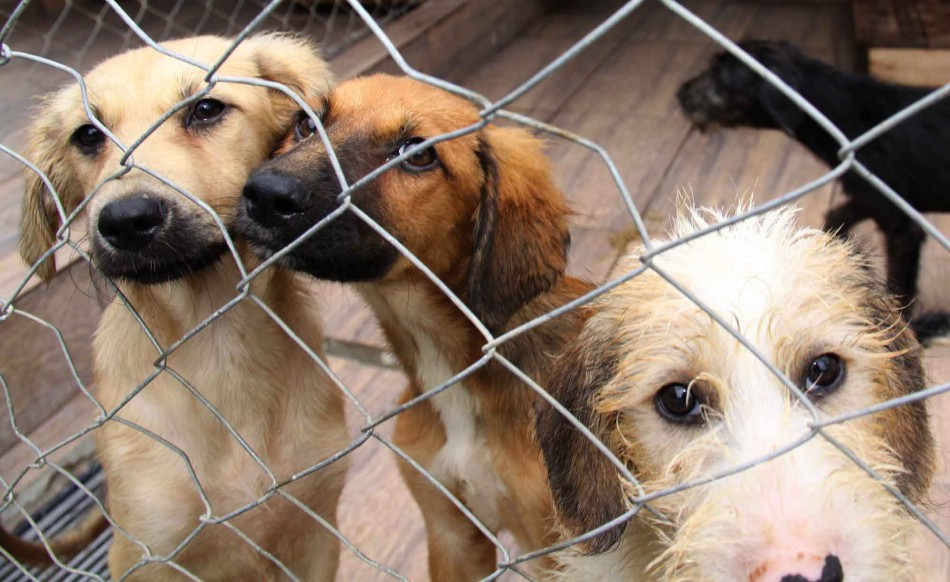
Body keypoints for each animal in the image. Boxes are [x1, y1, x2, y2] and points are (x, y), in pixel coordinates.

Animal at [15, 34, 350, 580]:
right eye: (87, 136)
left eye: (206, 109)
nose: (126, 220)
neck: (214, 336)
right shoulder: (147, 550)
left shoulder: (316, 532)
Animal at [676, 40, 950, 342]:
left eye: (719, 77)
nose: (680, 93)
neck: (842, 113)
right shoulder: (867, 196)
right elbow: (837, 216)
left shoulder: (901, 227)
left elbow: (901, 290)